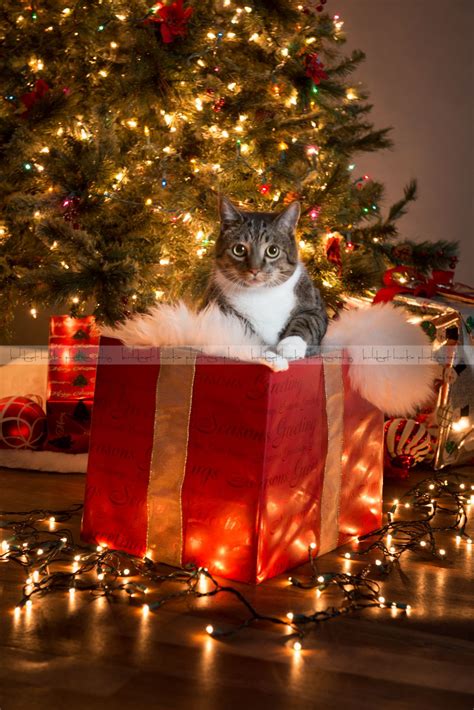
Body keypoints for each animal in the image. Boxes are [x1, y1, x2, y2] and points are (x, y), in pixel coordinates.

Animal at [202, 195, 328, 362]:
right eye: (239, 249)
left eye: (273, 250)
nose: (255, 269)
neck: (260, 294)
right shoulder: (216, 309)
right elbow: (244, 333)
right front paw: (267, 355)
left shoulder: (315, 303)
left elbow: (308, 320)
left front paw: (291, 346)